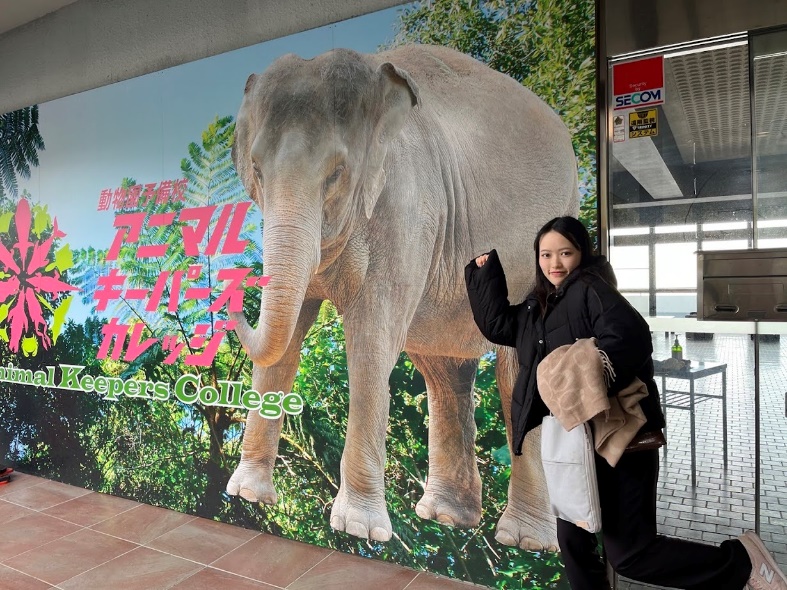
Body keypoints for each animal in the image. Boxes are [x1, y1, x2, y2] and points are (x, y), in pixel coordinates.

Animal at [225, 42, 580, 552]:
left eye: (337, 173)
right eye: (255, 170)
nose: (229, 296)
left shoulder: (409, 209)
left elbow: (371, 343)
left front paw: (358, 527)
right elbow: (288, 339)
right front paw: (249, 495)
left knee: (515, 370)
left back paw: (525, 540)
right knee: (444, 370)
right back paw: (448, 518)